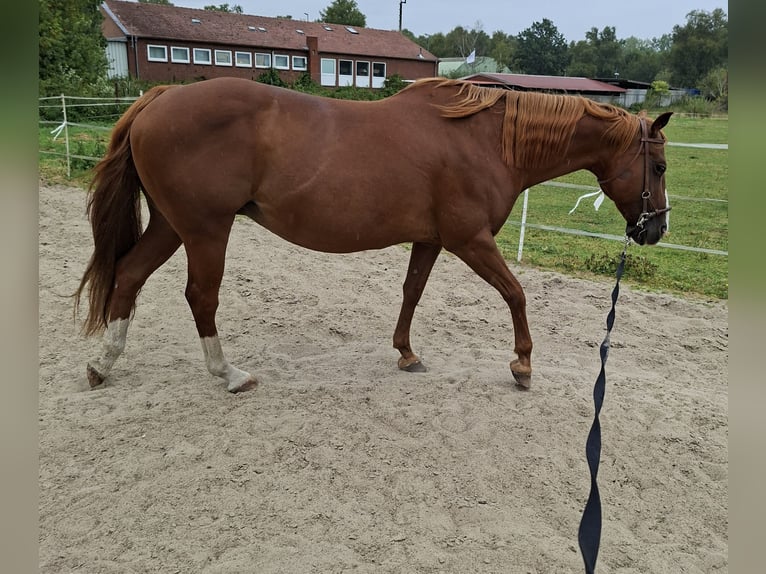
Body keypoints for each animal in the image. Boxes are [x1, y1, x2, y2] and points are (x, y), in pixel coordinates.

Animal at [75, 77, 672, 393]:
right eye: (661, 167)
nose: (656, 229)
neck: (482, 140)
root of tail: (162, 95)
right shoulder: (470, 240)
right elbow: (516, 293)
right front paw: (522, 364)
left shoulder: (432, 240)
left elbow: (412, 292)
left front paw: (406, 354)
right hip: (204, 229)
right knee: (200, 295)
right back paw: (228, 374)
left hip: (171, 225)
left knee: (127, 275)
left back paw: (102, 365)